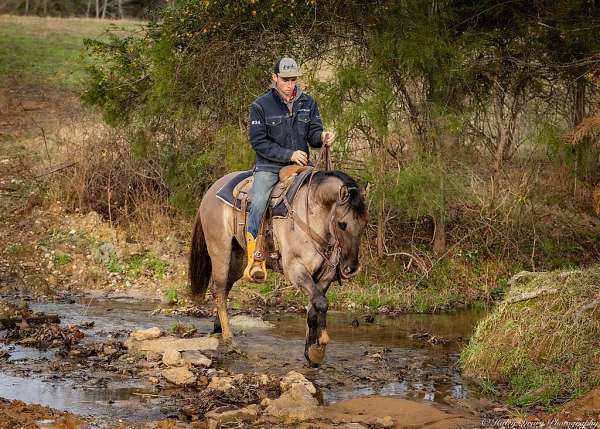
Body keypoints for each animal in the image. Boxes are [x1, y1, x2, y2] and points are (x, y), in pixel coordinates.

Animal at [189, 167, 366, 364]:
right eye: (342, 224)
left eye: (364, 224)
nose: (350, 269)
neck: (313, 213)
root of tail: (212, 190)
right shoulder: (296, 269)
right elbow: (321, 302)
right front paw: (320, 346)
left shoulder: (324, 276)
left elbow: (315, 306)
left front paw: (311, 351)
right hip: (220, 251)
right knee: (218, 290)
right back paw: (230, 342)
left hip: (238, 259)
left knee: (225, 289)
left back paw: (218, 327)